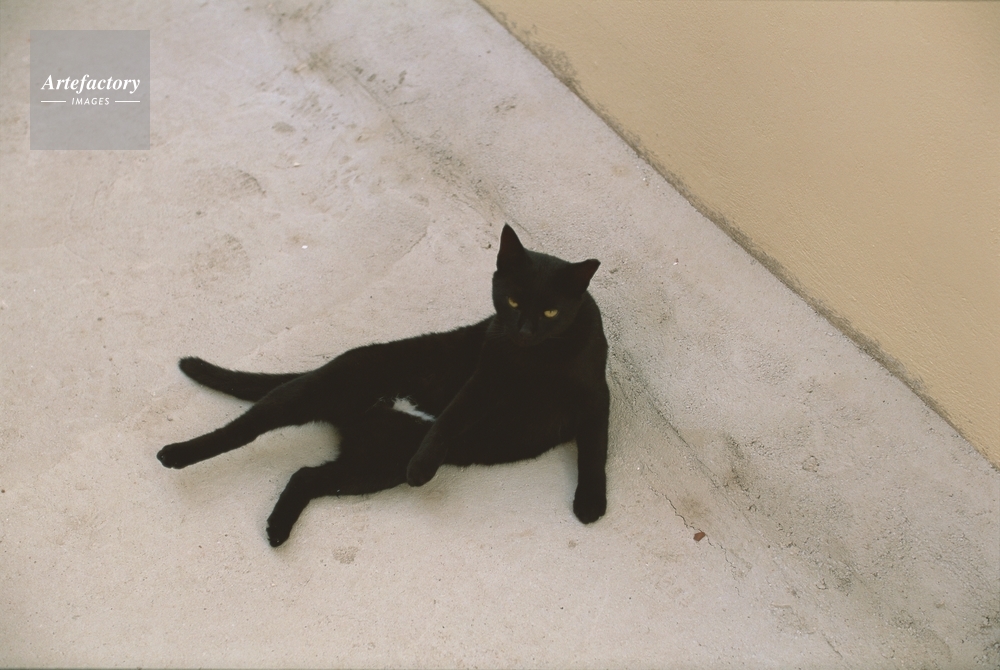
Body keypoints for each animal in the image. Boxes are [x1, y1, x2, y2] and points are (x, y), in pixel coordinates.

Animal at [157, 224, 609, 546]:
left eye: (550, 312)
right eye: (513, 301)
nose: (524, 330)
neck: (538, 358)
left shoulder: (595, 399)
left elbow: (595, 449)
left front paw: (590, 503)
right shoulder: (485, 377)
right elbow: (451, 416)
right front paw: (424, 466)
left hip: (370, 468)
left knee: (304, 475)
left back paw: (277, 530)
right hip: (320, 394)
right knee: (243, 429)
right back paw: (174, 454)